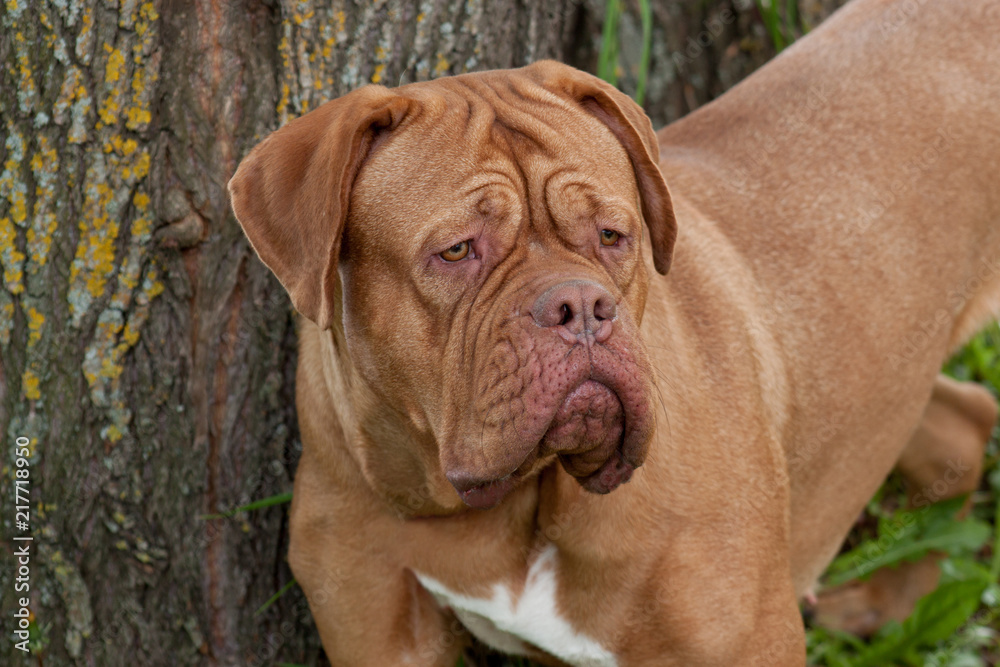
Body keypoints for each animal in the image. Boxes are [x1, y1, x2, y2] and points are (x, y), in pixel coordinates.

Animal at [229, 0, 1000, 664]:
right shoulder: (375, 620)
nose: (580, 306)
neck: (519, 503)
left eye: (611, 234)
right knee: (960, 424)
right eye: (457, 250)